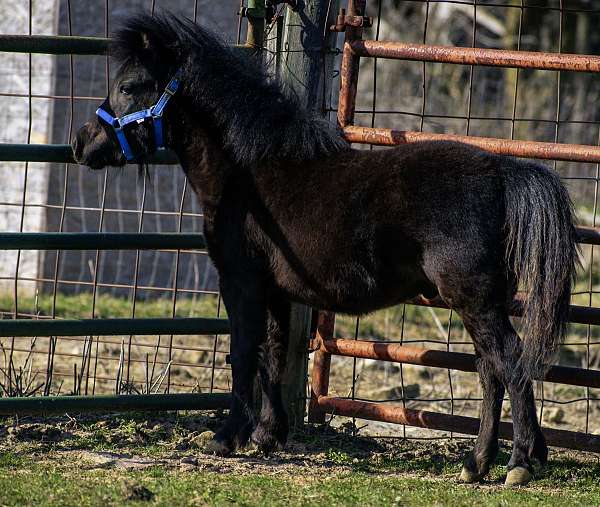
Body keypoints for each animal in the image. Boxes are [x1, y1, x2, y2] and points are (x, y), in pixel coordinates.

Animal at [72, 12, 580, 488]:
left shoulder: (241, 283)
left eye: (129, 86)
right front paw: (268, 435)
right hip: (480, 304)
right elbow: (273, 354)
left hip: (475, 301)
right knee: (491, 371)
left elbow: (242, 352)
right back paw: (483, 463)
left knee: (508, 365)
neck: (249, 174)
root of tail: (502, 171)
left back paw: (516, 463)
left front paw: (228, 437)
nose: (81, 143)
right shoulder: (277, 291)